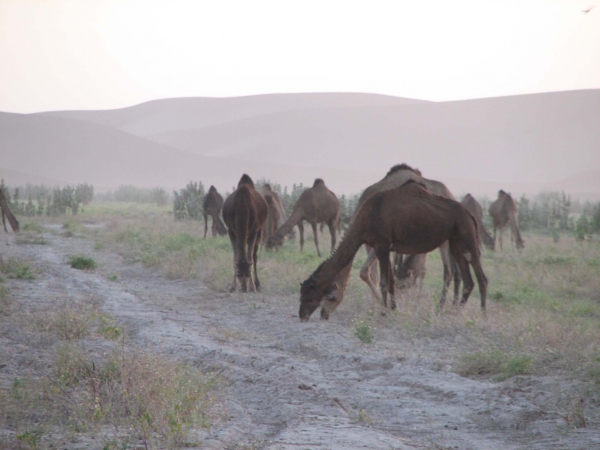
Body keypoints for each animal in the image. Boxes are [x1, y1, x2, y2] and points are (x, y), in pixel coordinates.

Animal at [300, 179, 488, 320]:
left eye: (312, 295)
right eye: (301, 294)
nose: (302, 315)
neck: (365, 217)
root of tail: (470, 215)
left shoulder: (382, 245)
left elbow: (384, 282)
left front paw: (384, 312)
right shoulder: (381, 245)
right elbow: (388, 280)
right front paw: (392, 309)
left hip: (468, 236)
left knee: (481, 277)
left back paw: (482, 315)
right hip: (455, 242)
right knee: (466, 279)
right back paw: (453, 312)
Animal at [318, 163, 460, 322]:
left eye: (331, 296)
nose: (323, 313)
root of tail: (450, 194)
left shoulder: (382, 242)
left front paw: (385, 307)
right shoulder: (373, 244)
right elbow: (367, 273)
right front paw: (375, 309)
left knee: (450, 271)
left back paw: (444, 308)